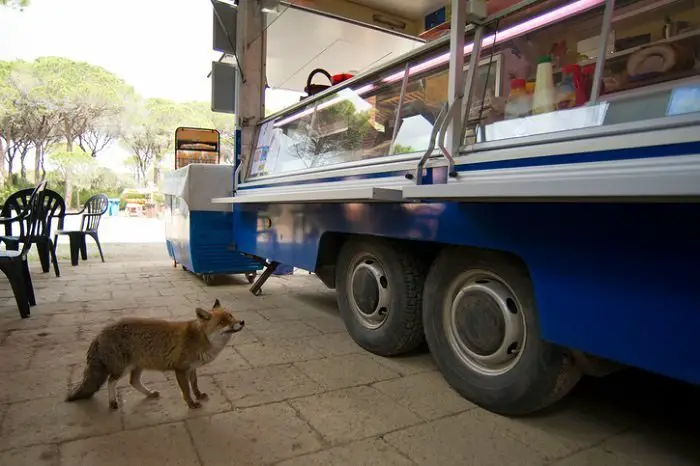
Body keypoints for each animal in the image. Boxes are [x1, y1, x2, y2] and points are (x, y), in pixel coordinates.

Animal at [65, 300, 245, 410]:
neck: (200, 338)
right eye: (222, 322)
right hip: (122, 368)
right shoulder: (180, 370)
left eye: (231, 316)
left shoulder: (192, 368)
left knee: (133, 382)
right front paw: (191, 404)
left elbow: (194, 385)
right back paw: (113, 402)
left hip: (138, 366)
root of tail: (100, 333)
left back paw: (149, 394)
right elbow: (186, 390)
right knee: (111, 381)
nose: (242, 322)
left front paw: (199, 396)